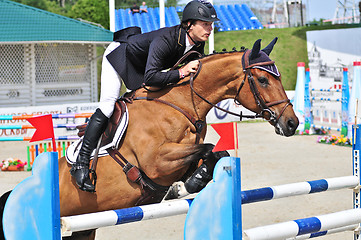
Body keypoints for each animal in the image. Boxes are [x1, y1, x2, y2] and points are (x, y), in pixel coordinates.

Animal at [0, 38, 296, 239]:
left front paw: (189, 184)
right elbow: (208, 148)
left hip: (85, 228)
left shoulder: (175, 161)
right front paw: (190, 183)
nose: (292, 123)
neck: (180, 105)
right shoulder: (157, 162)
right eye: (263, 80)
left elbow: (215, 154)